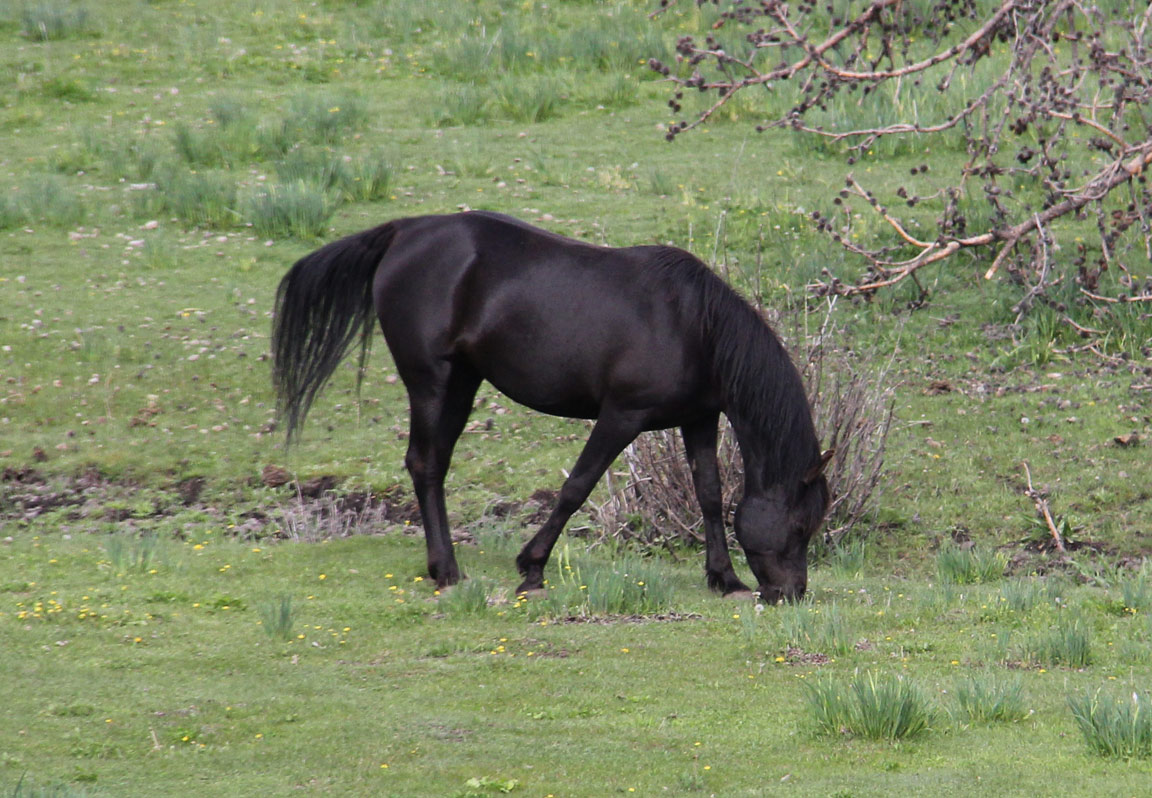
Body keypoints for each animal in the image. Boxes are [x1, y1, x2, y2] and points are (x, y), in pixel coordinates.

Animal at [269, 209, 829, 598]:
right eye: (801, 526)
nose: (790, 594)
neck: (693, 326)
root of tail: (405, 231)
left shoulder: (700, 419)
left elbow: (709, 495)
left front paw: (724, 579)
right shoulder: (620, 417)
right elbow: (576, 487)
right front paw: (532, 567)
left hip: (463, 383)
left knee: (435, 465)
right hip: (432, 382)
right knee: (425, 464)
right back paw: (446, 570)